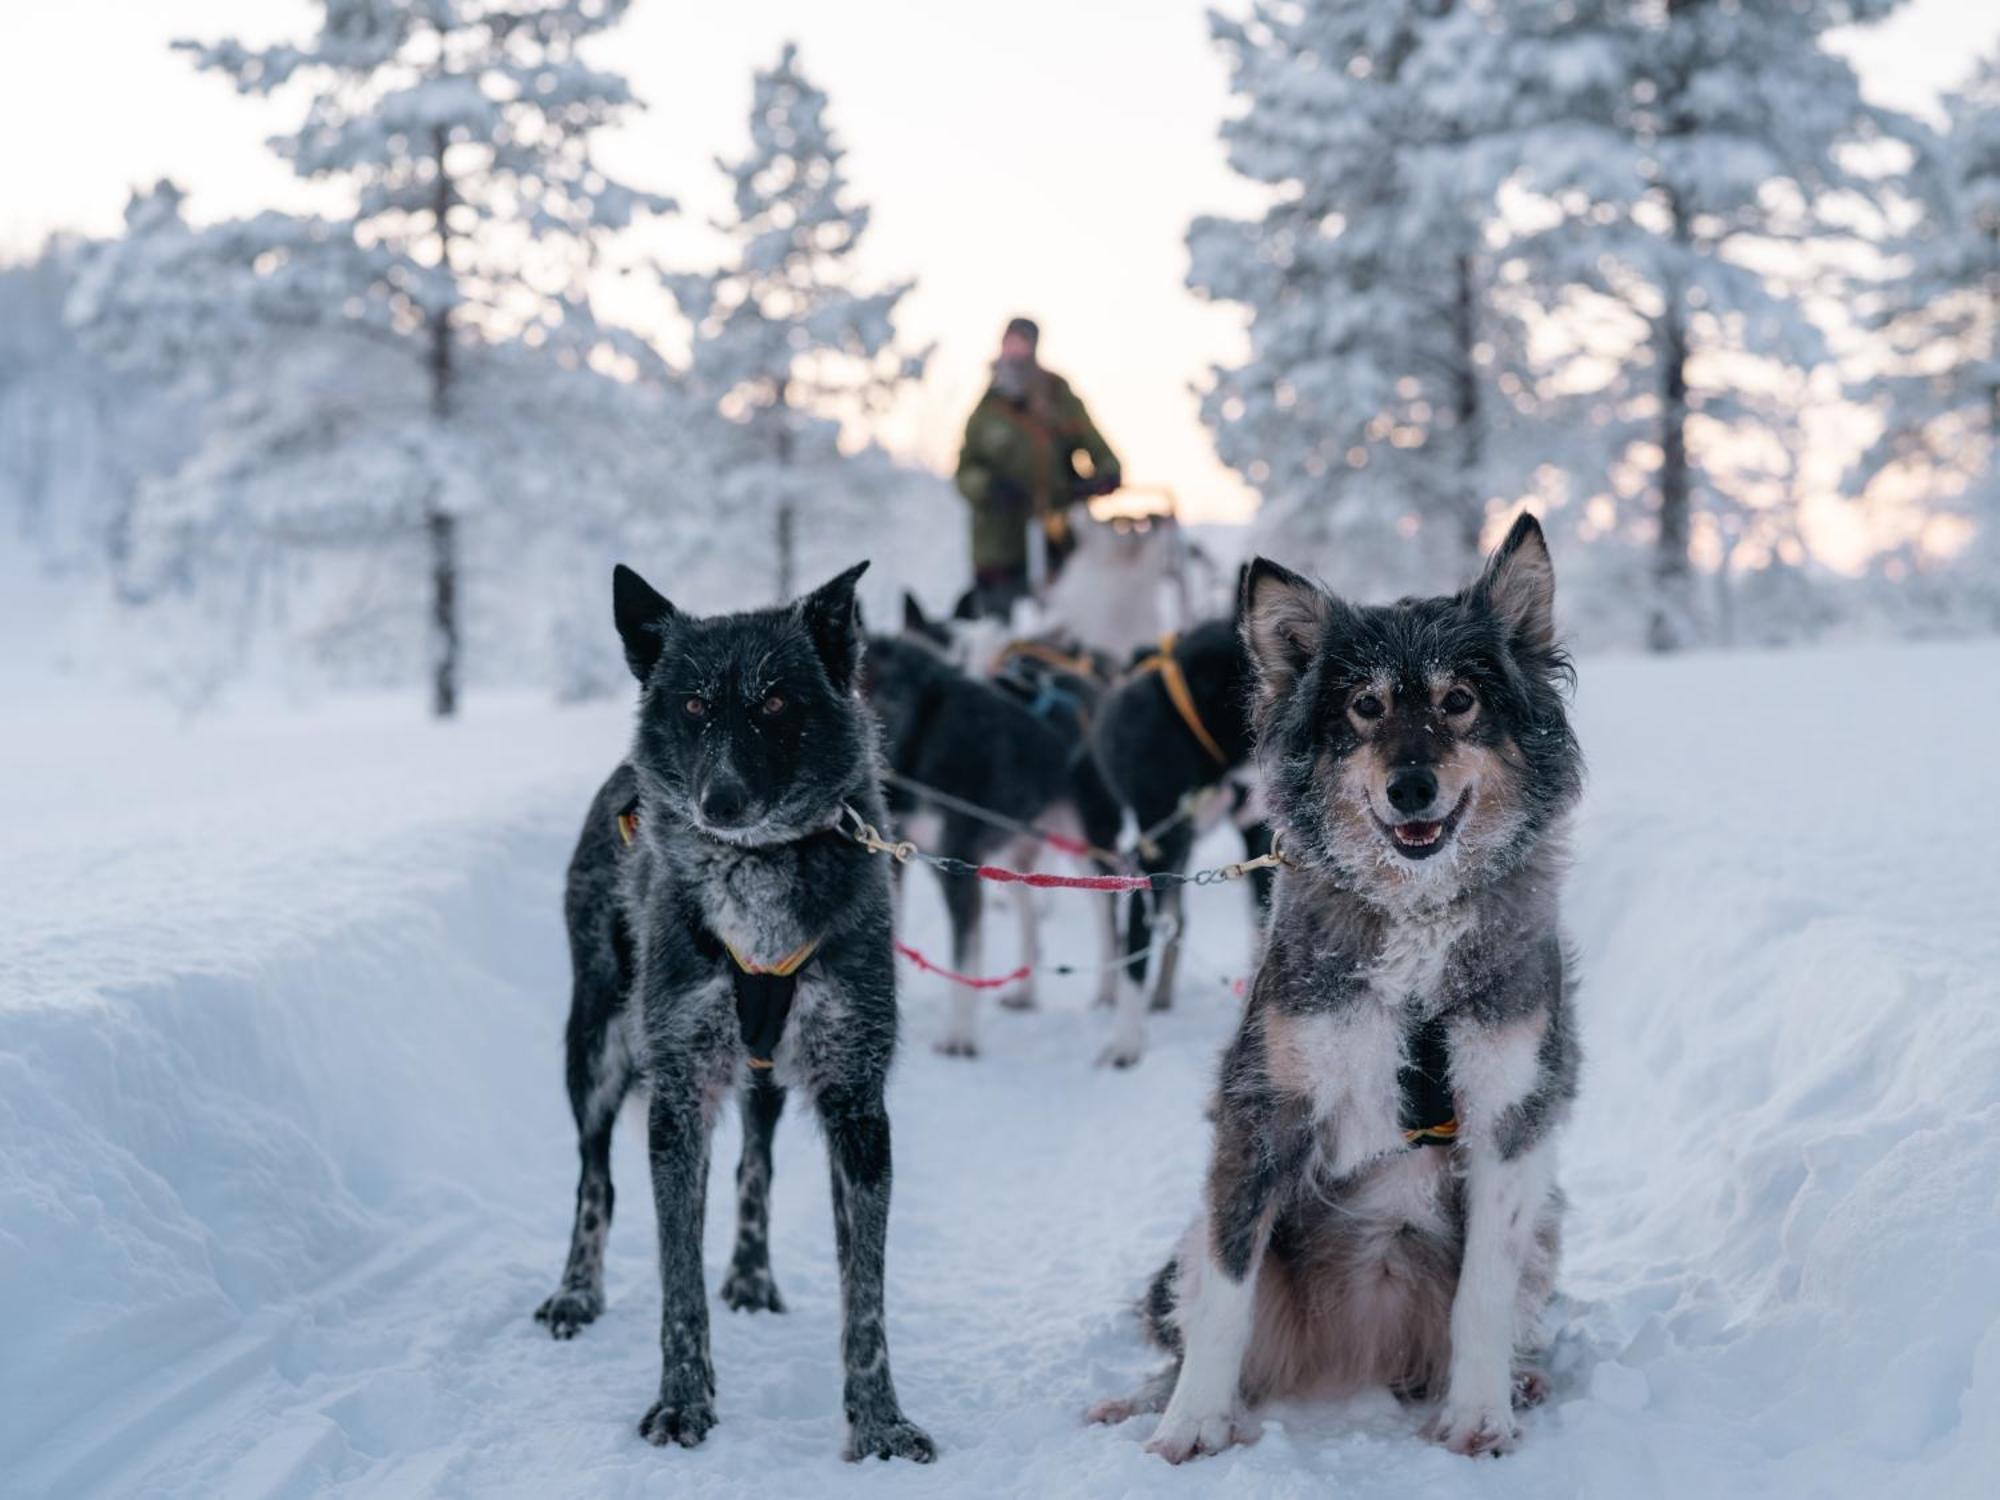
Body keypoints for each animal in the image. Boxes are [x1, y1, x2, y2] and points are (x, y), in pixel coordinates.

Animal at [532, 560, 936, 1472]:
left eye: (776, 703)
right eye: (693, 706)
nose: (720, 801)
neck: (754, 878)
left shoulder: (857, 1102)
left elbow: (867, 1296)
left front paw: (879, 1423)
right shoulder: (679, 1096)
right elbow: (678, 1285)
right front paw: (683, 1403)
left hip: (763, 1077)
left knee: (757, 1156)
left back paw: (751, 1271)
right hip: (597, 1051)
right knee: (593, 1177)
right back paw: (576, 1291)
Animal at [1096, 516, 1576, 1472]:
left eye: (1458, 700)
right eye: (1365, 707)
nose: (1412, 786)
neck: (1416, 919)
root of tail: (1361, 1352)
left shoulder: (1512, 1113)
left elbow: (1485, 1290)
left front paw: (1479, 1416)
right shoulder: (1263, 1109)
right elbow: (1225, 1297)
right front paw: (1189, 1426)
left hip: (1546, 1223)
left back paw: (1522, 1381)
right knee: (1196, 1306)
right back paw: (1146, 1402)